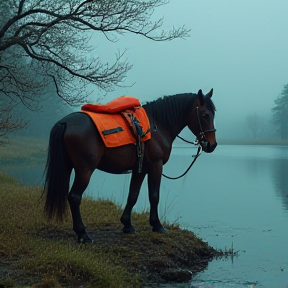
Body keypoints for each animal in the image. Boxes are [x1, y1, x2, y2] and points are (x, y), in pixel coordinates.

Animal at [44, 88, 217, 243]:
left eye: (213, 113)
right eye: (205, 115)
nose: (212, 145)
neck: (157, 125)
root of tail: (65, 122)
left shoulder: (140, 170)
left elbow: (132, 195)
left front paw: (127, 225)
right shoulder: (156, 166)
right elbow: (154, 196)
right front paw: (157, 225)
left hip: (69, 168)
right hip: (84, 170)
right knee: (74, 197)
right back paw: (82, 235)